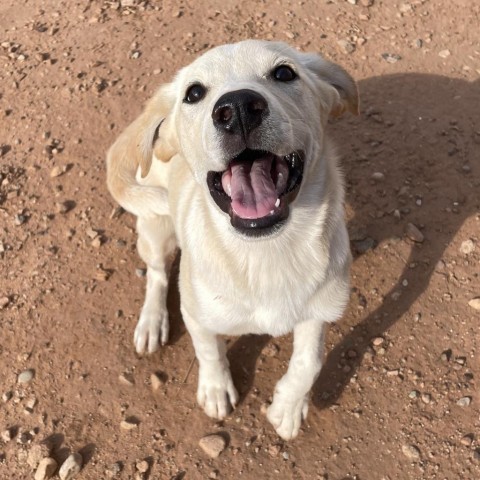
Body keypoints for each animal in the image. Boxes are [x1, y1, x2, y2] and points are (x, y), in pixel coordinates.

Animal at [107, 40, 358, 438]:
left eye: (284, 72)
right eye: (194, 93)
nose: (238, 108)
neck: (266, 253)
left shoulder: (319, 310)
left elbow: (310, 361)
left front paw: (289, 407)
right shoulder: (196, 315)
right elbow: (209, 351)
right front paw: (215, 389)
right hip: (155, 228)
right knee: (157, 274)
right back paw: (151, 322)